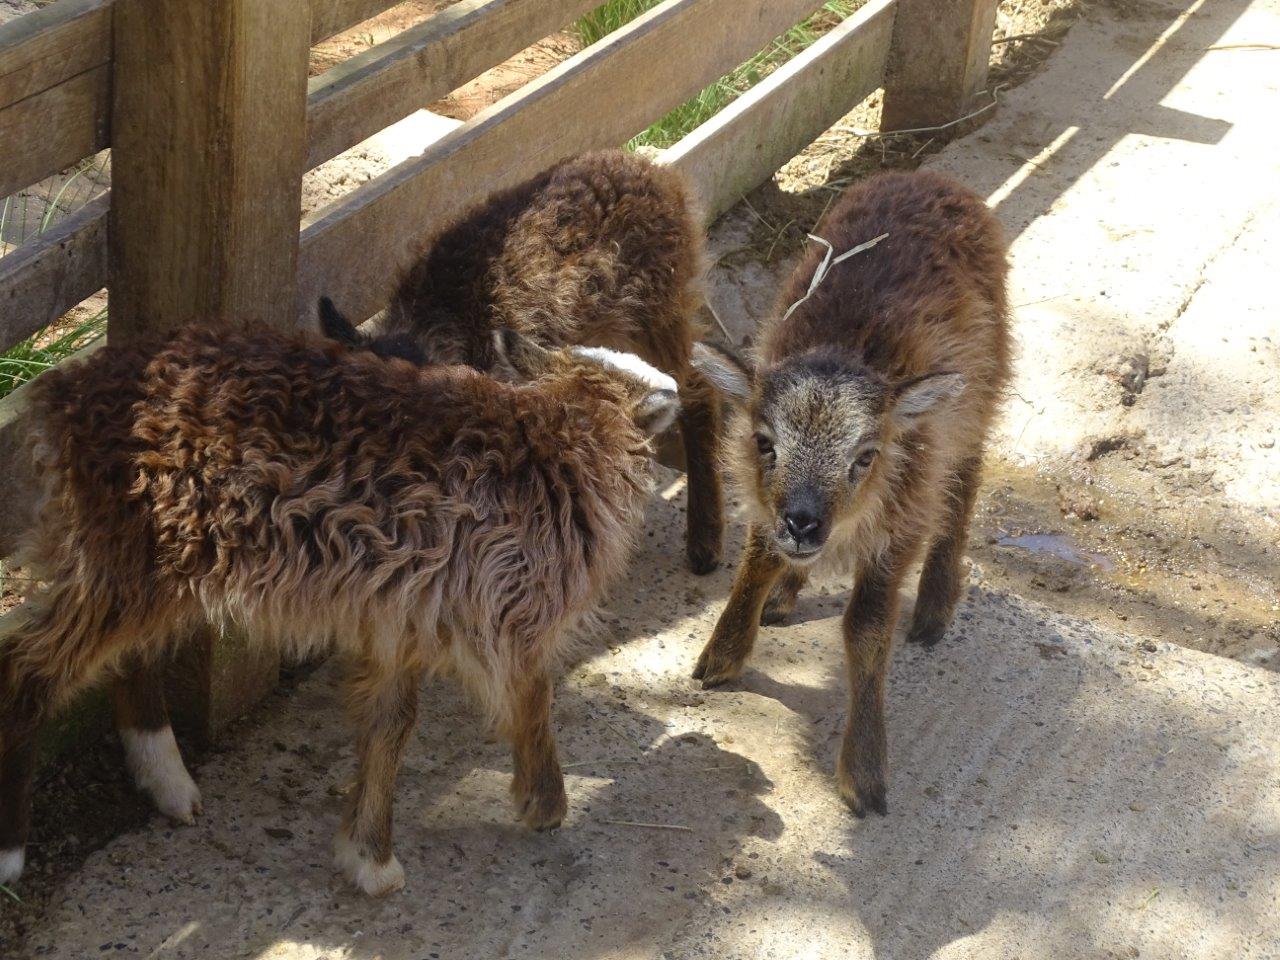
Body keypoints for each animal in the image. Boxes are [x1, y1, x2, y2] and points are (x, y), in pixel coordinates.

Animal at [0, 323, 680, 896]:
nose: (673, 386)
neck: (567, 432)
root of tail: (56, 400)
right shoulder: (511, 614)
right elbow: (532, 698)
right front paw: (545, 807)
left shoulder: (403, 615)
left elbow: (390, 722)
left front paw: (366, 857)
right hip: (130, 559)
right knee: (26, 668)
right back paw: (11, 852)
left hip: (157, 569)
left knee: (125, 657)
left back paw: (170, 784)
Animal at [689, 170, 1011, 817]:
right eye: (764, 442)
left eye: (865, 457)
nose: (804, 522)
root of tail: (933, 177)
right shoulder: (765, 503)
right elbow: (753, 563)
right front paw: (723, 654)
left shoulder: (902, 521)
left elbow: (865, 628)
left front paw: (864, 772)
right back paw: (786, 592)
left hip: (980, 391)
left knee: (964, 481)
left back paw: (935, 604)